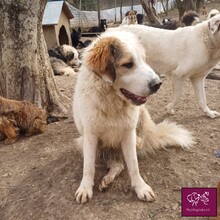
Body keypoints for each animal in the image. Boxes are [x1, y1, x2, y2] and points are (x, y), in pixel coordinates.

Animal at [72, 30, 194, 204]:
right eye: (128, 64)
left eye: (144, 59)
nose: (157, 84)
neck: (112, 103)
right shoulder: (90, 136)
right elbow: (88, 166)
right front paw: (85, 188)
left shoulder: (128, 133)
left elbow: (134, 166)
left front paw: (141, 188)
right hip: (91, 145)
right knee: (117, 165)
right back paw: (107, 179)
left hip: (141, 115)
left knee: (133, 150)